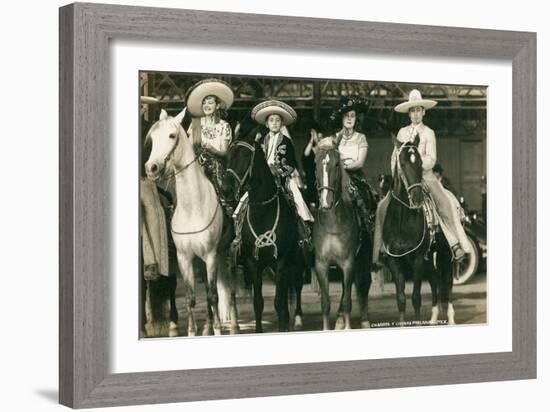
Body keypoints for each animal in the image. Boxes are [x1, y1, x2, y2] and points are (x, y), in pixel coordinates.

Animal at [146, 108, 240, 336]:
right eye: (153, 137)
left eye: (172, 135)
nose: (151, 168)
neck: (193, 209)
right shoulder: (184, 258)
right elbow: (191, 298)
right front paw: (191, 331)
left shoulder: (211, 255)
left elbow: (213, 295)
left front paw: (218, 330)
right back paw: (207, 327)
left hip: (227, 254)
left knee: (230, 290)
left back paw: (233, 325)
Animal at [221, 117, 306, 334]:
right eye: (228, 155)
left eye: (245, 155)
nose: (226, 190)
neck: (263, 211)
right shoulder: (254, 263)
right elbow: (259, 303)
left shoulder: (282, 261)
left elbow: (278, 302)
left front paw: (284, 325)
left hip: (298, 260)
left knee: (297, 286)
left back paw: (297, 320)